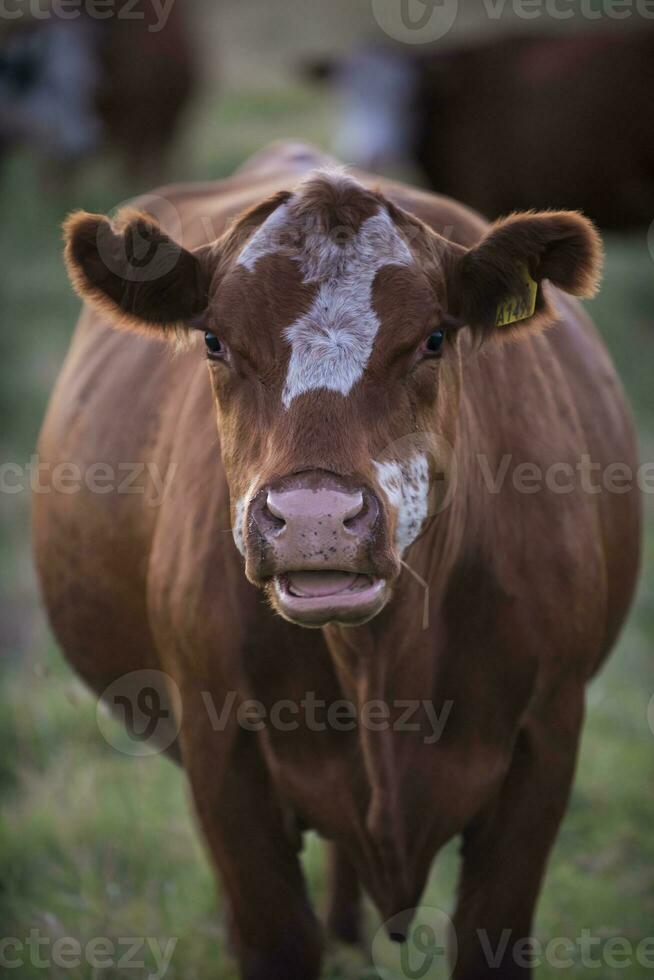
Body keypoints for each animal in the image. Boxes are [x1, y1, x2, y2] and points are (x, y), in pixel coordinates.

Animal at [33, 140, 644, 980]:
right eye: (214, 341)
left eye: (435, 338)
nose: (314, 519)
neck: (381, 658)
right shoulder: (223, 756)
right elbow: (274, 935)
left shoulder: (547, 737)